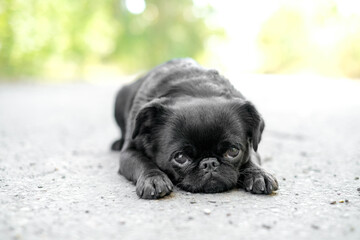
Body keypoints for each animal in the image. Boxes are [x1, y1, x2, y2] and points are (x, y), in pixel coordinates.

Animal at [112, 58, 278, 199]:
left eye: (233, 151)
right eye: (180, 157)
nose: (209, 163)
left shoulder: (251, 147)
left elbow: (251, 159)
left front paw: (259, 174)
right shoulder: (129, 152)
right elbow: (144, 162)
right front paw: (154, 178)